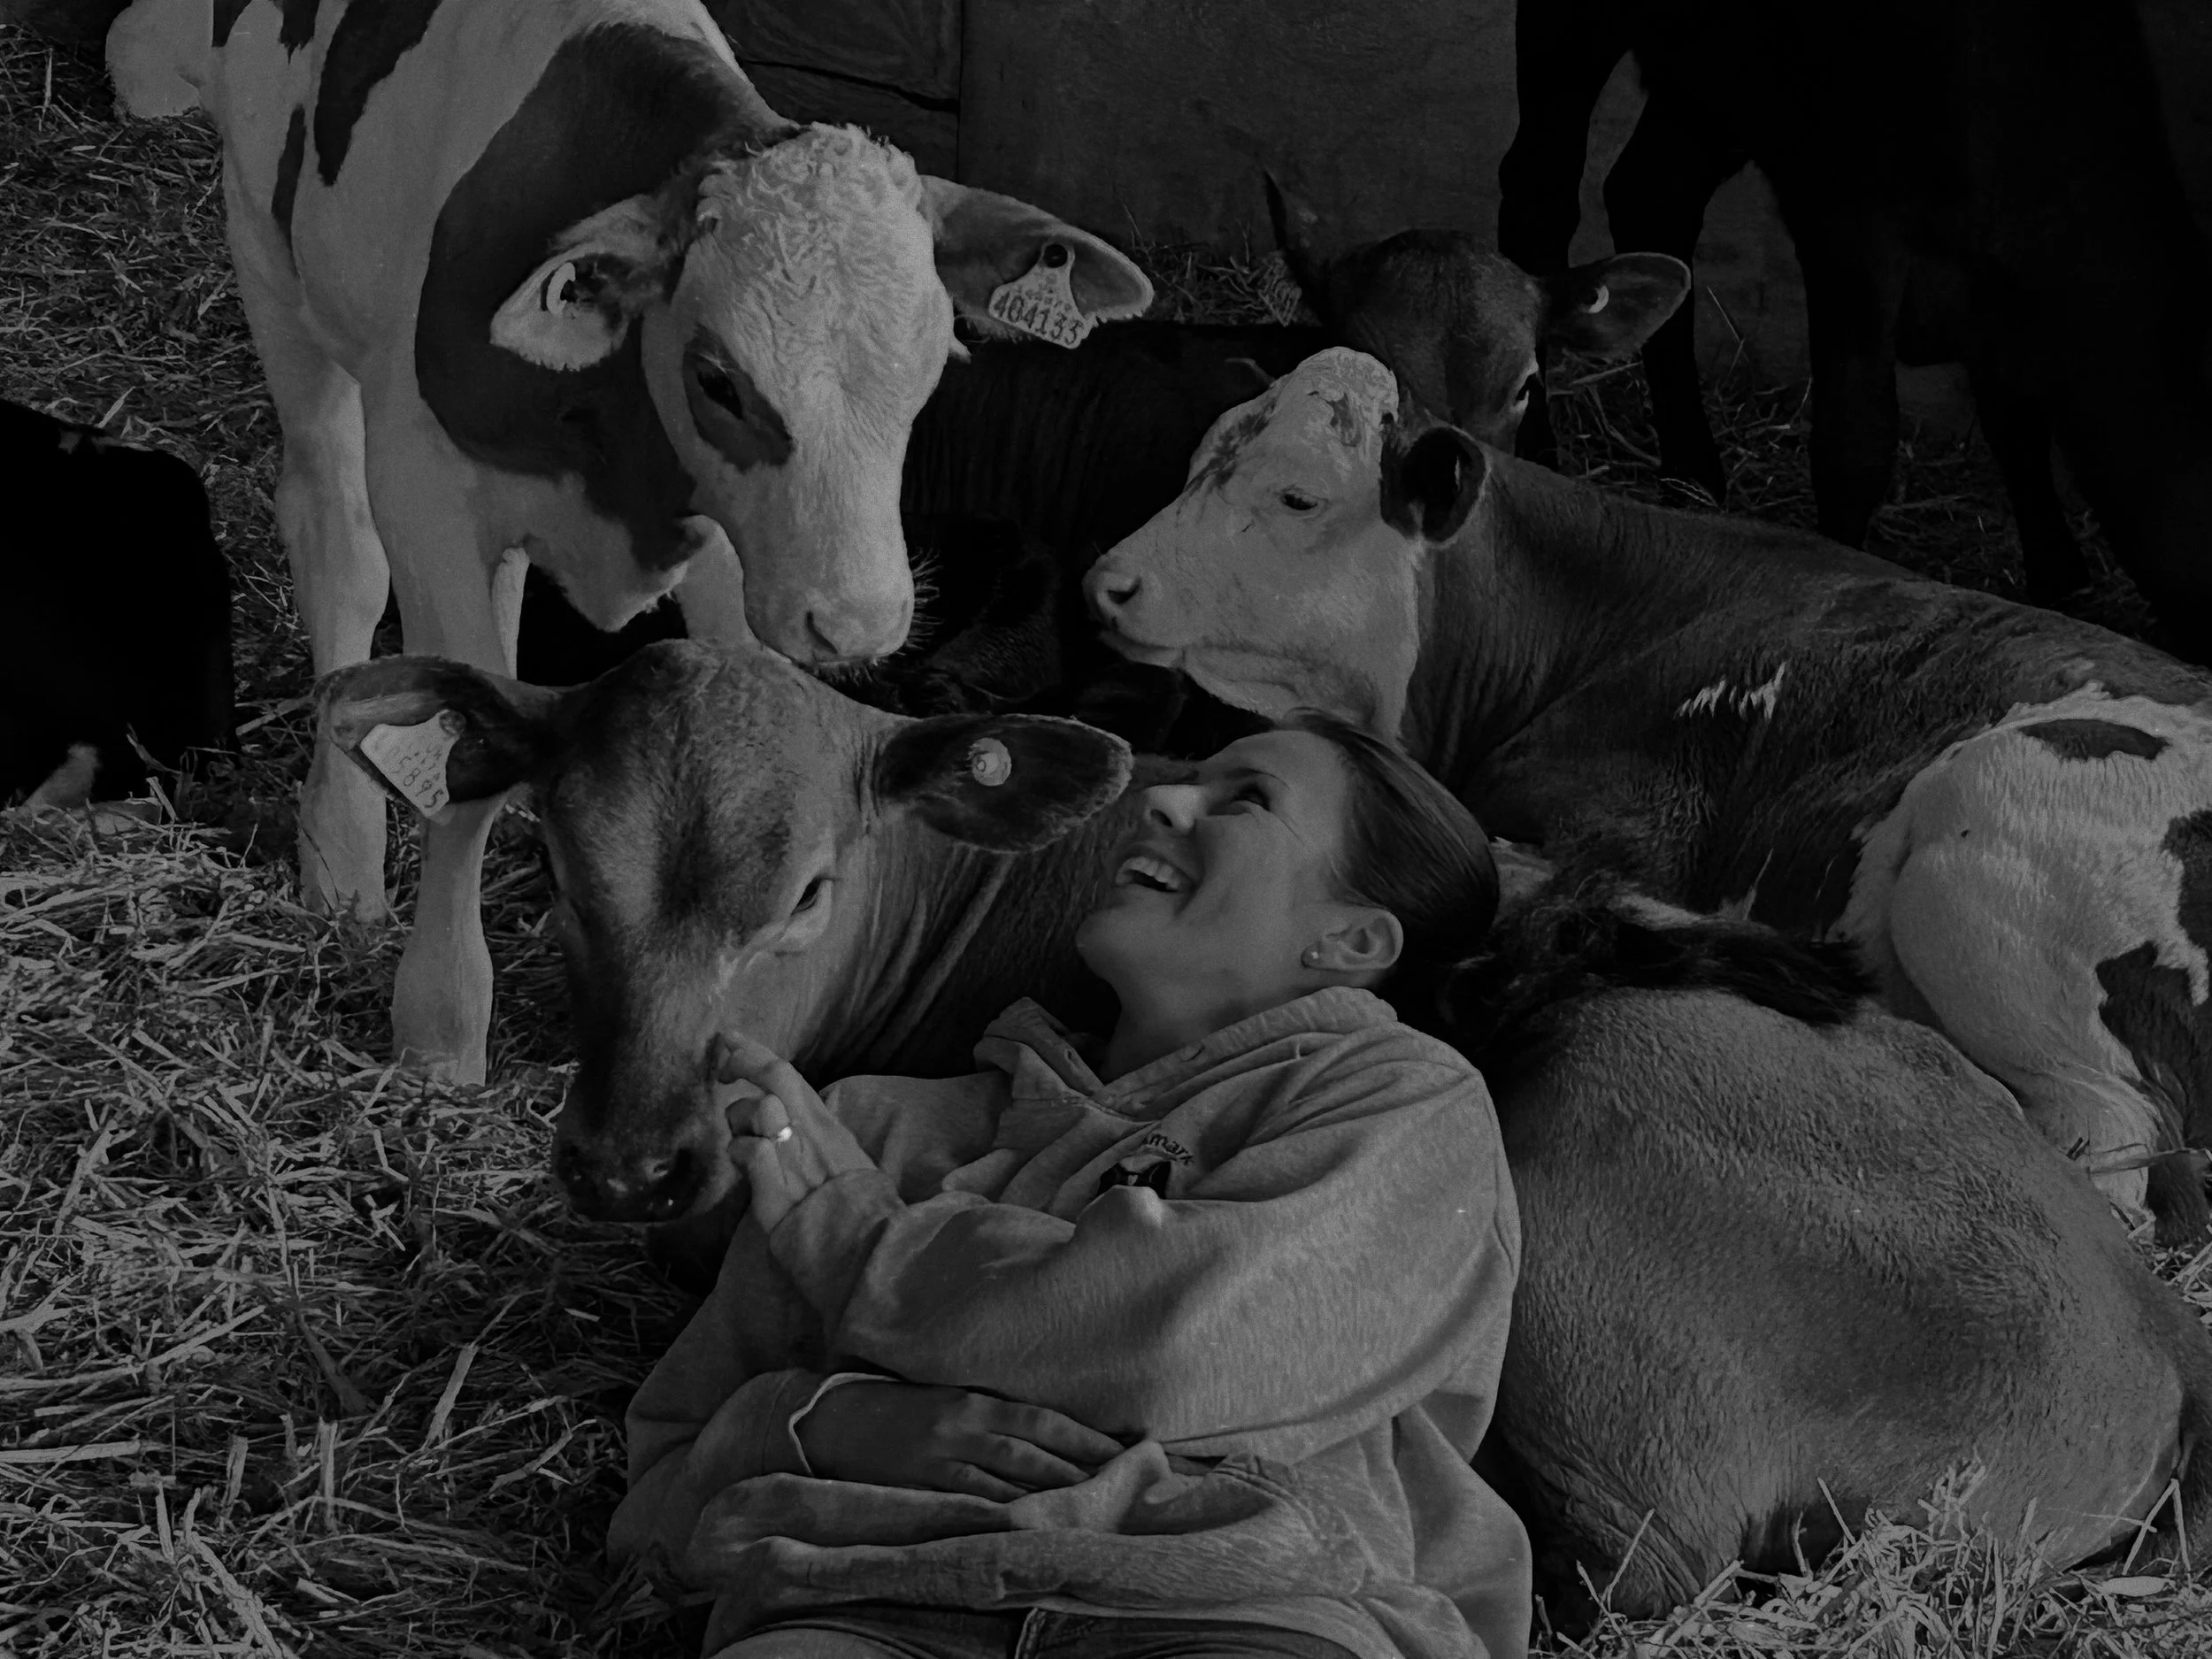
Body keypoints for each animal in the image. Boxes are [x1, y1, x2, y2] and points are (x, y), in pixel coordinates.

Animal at [103, 0, 1153, 1082]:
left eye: (933, 368)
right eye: (718, 380)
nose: (860, 620)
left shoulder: (736, 544)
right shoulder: (424, 486)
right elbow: (458, 749)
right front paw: (440, 1025)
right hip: (271, 252)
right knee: (336, 539)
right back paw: (342, 859)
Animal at [1086, 349, 2212, 1242]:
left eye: (1298, 497)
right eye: (1197, 465)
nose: (1107, 581)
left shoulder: (1619, 823)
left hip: (1984, 834)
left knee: (2106, 1151)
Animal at [1491, 0, 2212, 655]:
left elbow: (2014, 423)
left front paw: (2059, 577)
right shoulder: (1851, 224)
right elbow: (1856, 442)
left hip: (1718, 79)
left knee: (1653, 192)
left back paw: (1693, 472)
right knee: (1540, 189)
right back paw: (1538, 448)